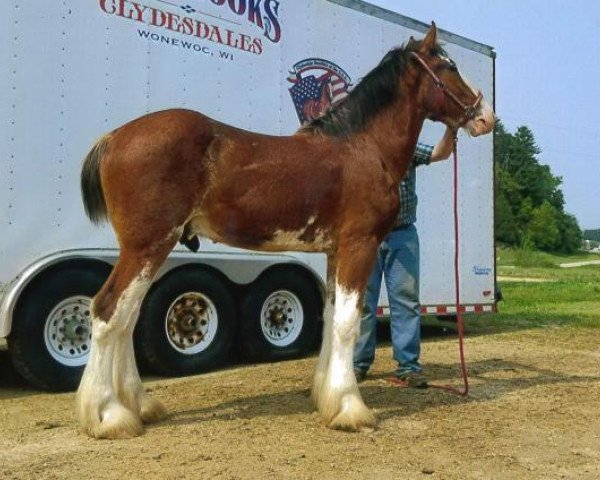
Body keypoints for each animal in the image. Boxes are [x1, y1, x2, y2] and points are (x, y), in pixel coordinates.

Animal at [77, 25, 494, 438]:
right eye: (449, 66)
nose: (485, 117)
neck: (362, 147)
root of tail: (112, 138)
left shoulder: (334, 251)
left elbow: (330, 318)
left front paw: (325, 395)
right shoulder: (359, 244)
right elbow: (347, 323)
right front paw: (350, 407)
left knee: (127, 319)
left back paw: (139, 406)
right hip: (147, 247)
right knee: (108, 311)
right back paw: (108, 415)